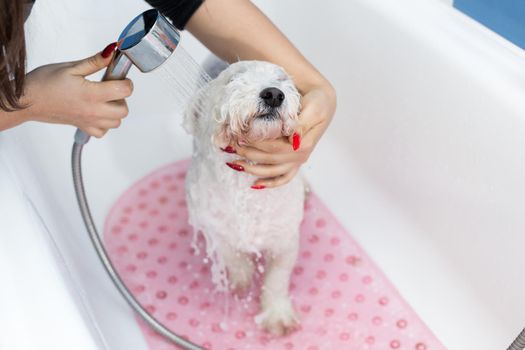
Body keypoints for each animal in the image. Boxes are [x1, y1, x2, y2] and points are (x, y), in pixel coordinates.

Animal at [184, 60, 304, 336]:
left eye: (282, 80)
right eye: (233, 79)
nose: (273, 94)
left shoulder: (284, 240)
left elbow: (277, 278)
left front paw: (276, 314)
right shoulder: (215, 226)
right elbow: (233, 256)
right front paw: (242, 278)